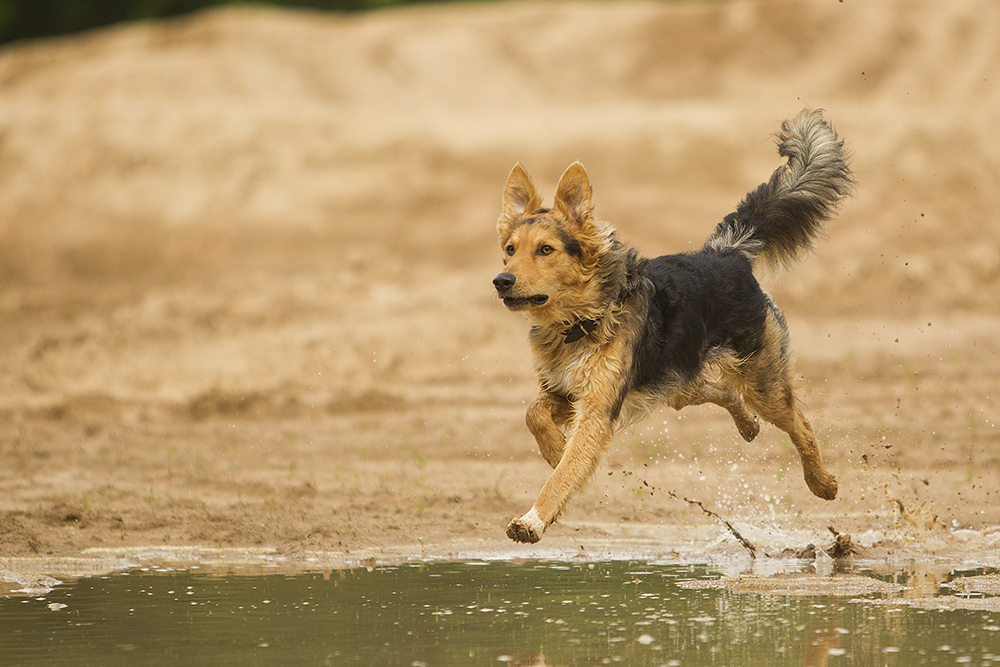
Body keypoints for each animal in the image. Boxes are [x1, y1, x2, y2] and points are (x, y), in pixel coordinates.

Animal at [492, 109, 852, 544]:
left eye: (546, 250)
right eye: (510, 250)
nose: (501, 281)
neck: (580, 321)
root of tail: (727, 254)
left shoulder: (597, 409)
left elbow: (562, 475)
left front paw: (533, 518)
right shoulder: (563, 392)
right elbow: (534, 415)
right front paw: (554, 449)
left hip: (761, 383)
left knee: (800, 422)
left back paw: (823, 483)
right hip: (677, 381)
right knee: (723, 391)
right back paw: (748, 426)